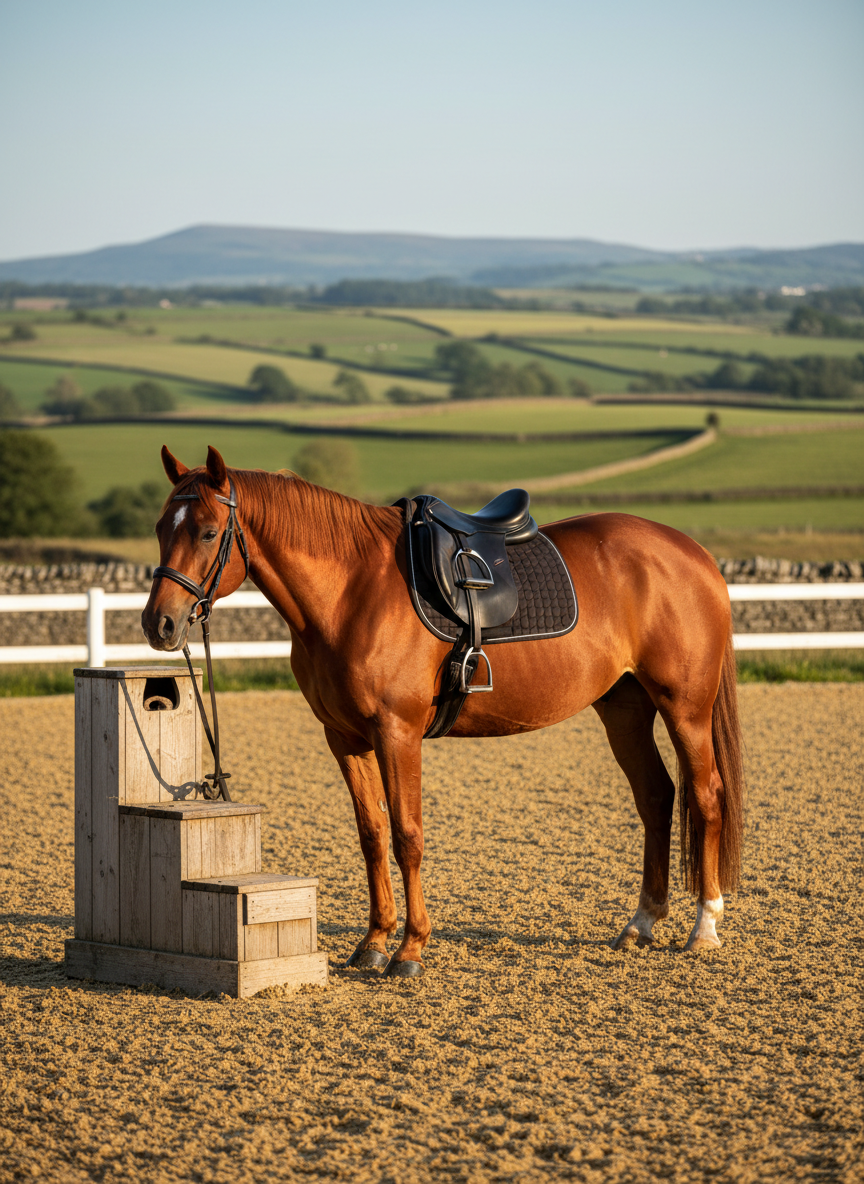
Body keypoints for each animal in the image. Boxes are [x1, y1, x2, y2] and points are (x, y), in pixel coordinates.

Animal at [142, 445, 744, 976]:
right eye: (160, 528)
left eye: (207, 532)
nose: (159, 624)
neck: (352, 591)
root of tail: (693, 554)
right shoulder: (345, 738)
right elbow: (372, 835)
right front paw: (374, 943)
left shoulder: (396, 732)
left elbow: (407, 835)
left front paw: (410, 950)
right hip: (624, 707)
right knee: (656, 796)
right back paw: (642, 923)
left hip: (685, 708)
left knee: (706, 795)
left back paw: (705, 926)